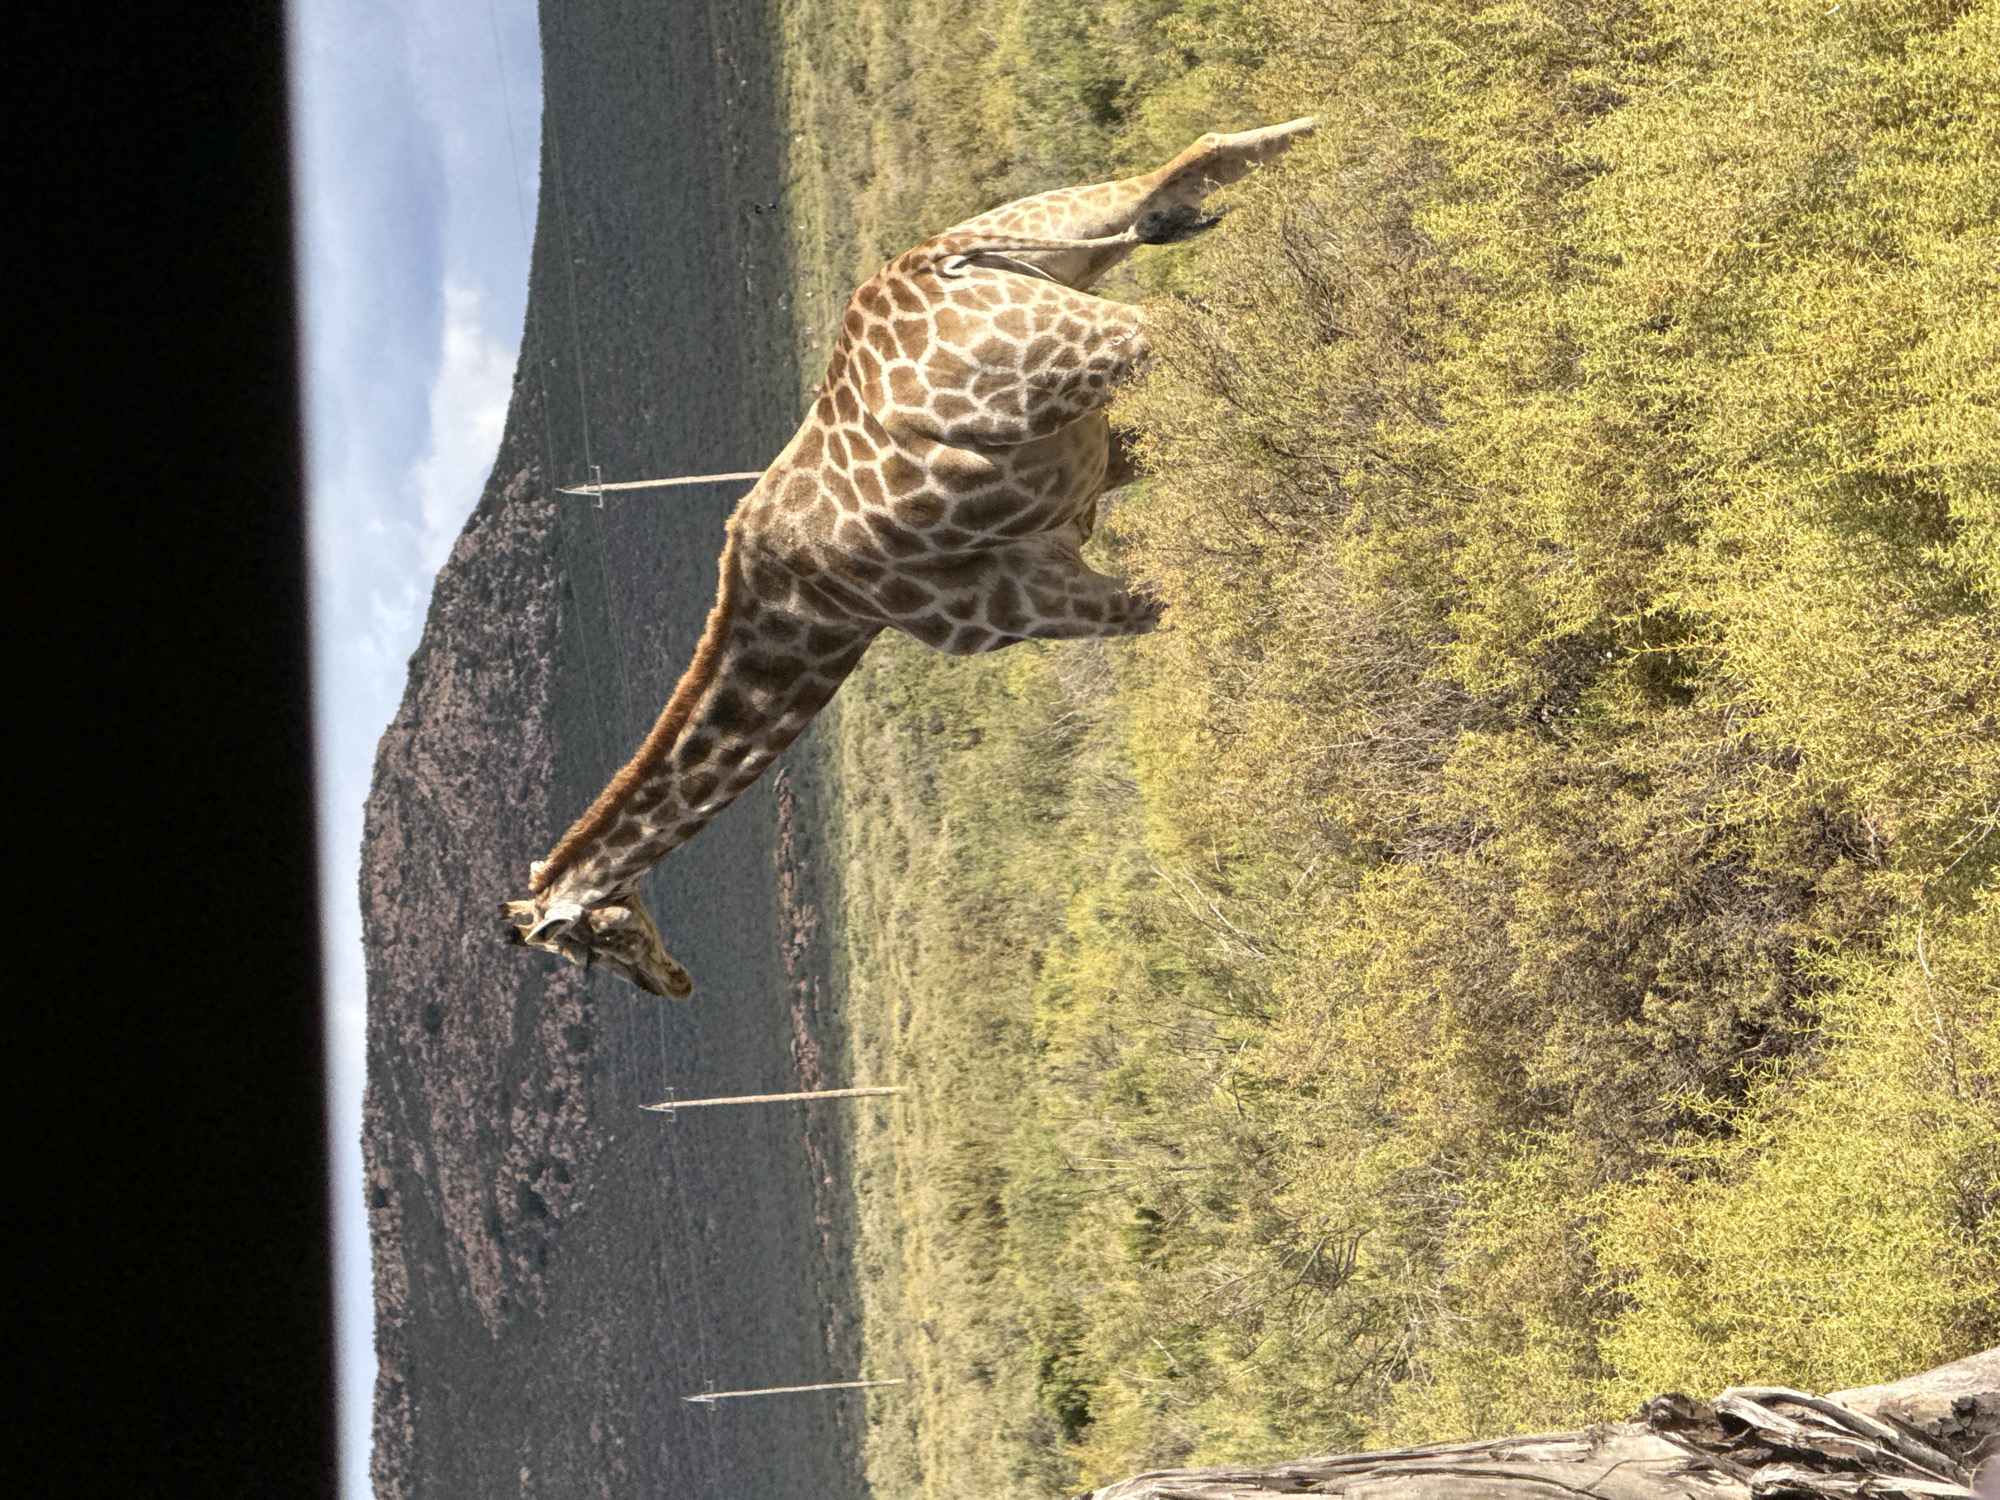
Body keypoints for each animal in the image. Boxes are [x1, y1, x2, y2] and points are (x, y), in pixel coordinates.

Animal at [504, 118, 1316, 997]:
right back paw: (1333, 129)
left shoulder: (1024, 602)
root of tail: (935, 263)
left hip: (1105, 339)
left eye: (590, 947)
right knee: (1199, 162)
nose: (675, 983)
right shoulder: (1093, 476)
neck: (813, 606)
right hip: (1070, 236)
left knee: (1222, 291)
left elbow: (1190, 602)